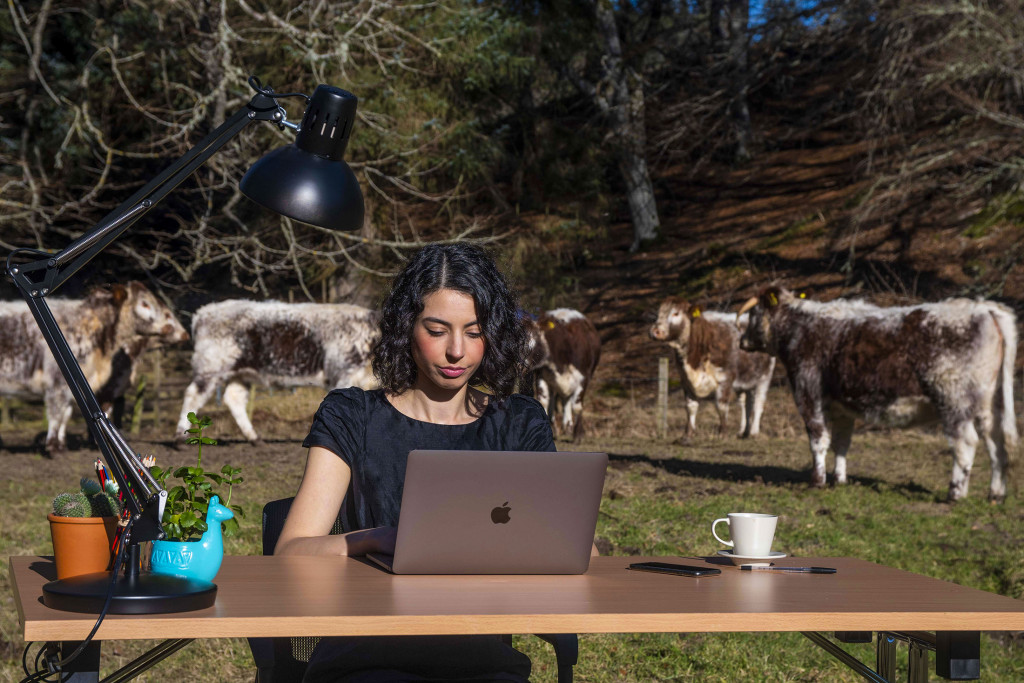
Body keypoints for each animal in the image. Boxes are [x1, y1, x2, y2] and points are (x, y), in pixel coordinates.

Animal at [0, 280, 188, 456]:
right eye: (145, 303)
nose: (184, 334)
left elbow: (68, 414)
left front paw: (62, 445)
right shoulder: (59, 383)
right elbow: (58, 413)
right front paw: (54, 447)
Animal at [176, 301, 380, 444]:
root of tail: (204, 312)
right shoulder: (345, 375)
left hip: (240, 373)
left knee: (234, 398)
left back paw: (254, 438)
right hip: (211, 367)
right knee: (193, 394)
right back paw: (180, 436)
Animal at [647, 296, 774, 438]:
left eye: (676, 313)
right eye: (658, 314)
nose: (655, 331)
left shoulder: (725, 378)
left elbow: (721, 405)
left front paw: (722, 433)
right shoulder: (685, 380)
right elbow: (690, 406)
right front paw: (688, 433)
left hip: (765, 376)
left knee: (758, 402)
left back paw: (753, 432)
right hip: (745, 379)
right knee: (745, 403)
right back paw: (743, 431)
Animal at [737, 284, 1015, 501]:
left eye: (753, 313)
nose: (741, 341)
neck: (801, 327)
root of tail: (983, 307)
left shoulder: (808, 394)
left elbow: (818, 440)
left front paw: (817, 481)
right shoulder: (842, 408)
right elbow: (841, 443)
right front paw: (839, 480)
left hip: (953, 401)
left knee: (966, 442)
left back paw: (955, 494)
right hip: (988, 404)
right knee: (995, 442)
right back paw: (996, 494)